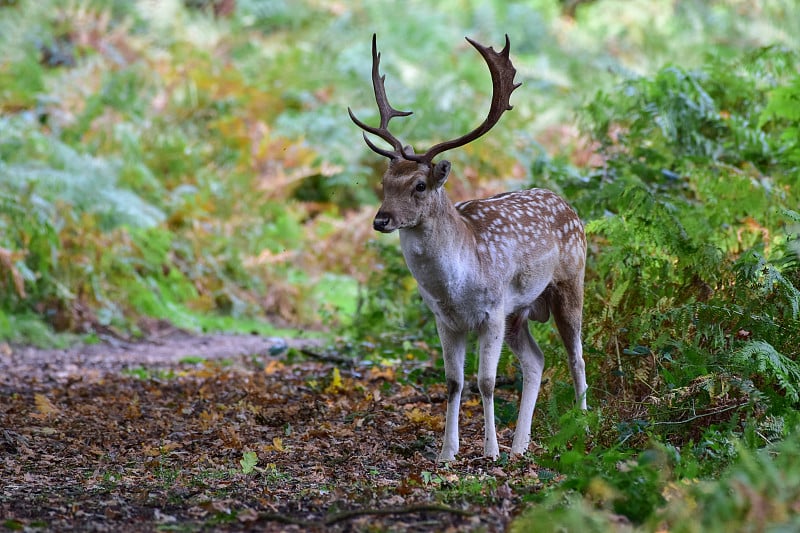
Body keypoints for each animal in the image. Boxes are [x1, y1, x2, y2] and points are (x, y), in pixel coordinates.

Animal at [350, 34, 588, 462]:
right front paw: (448, 452)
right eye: (384, 182)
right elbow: (453, 382)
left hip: (569, 282)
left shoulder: (491, 311)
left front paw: (489, 451)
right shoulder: (445, 320)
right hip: (519, 314)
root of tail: (569, 207)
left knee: (576, 357)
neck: (455, 285)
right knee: (536, 361)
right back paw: (520, 446)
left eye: (420, 185)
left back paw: (582, 428)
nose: (381, 220)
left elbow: (487, 381)